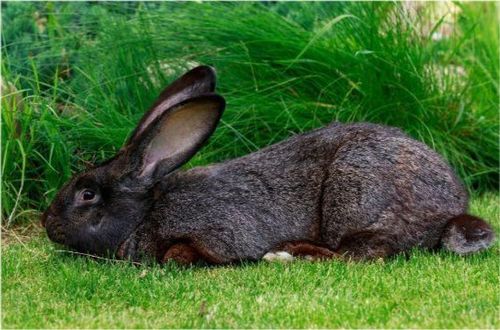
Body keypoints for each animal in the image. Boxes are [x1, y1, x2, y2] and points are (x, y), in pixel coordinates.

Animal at [41, 65, 494, 264]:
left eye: (87, 194)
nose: (47, 224)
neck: (145, 214)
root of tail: (452, 212)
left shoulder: (215, 232)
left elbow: (187, 252)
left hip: (356, 195)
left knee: (363, 252)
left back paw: (290, 253)